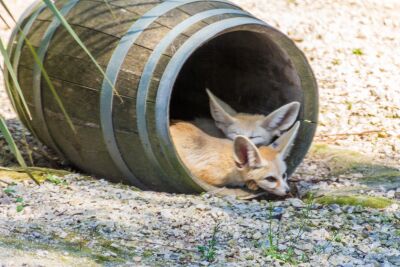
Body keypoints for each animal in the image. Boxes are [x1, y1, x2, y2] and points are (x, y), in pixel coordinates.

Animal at [170, 120, 300, 196]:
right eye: (271, 179)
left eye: (284, 175)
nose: (288, 191)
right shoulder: (205, 175)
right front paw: (250, 183)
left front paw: (251, 183)